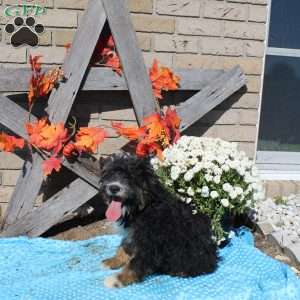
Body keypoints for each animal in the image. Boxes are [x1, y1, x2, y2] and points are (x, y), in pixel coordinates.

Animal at [99, 154, 217, 288]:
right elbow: (124, 247)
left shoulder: (151, 242)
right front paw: (112, 261)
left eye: (131, 177)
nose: (114, 187)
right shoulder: (132, 234)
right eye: (110, 174)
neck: (143, 208)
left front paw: (118, 279)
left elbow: (136, 262)